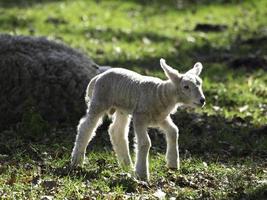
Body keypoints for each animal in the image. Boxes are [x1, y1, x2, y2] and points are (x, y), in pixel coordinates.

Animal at [70, 58, 206, 180]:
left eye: (200, 84)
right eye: (186, 87)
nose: (202, 100)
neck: (160, 93)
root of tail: (97, 77)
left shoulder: (161, 118)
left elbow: (174, 131)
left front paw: (173, 164)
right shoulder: (140, 117)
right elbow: (145, 142)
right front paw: (142, 174)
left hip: (122, 109)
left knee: (116, 131)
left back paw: (126, 165)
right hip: (99, 101)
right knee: (85, 127)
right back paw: (77, 161)